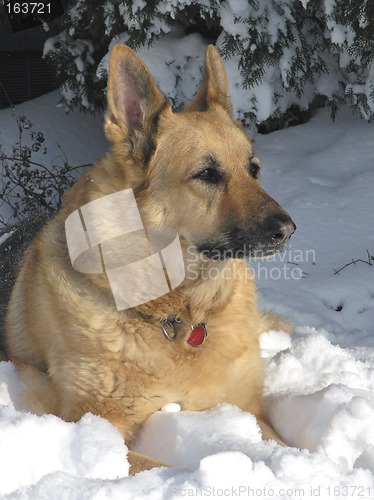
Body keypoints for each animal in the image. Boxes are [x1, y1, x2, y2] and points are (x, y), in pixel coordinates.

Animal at [3, 43, 296, 472]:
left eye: (253, 169)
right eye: (208, 174)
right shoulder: (100, 432)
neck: (179, 316)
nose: (288, 230)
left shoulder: (251, 411)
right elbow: (168, 470)